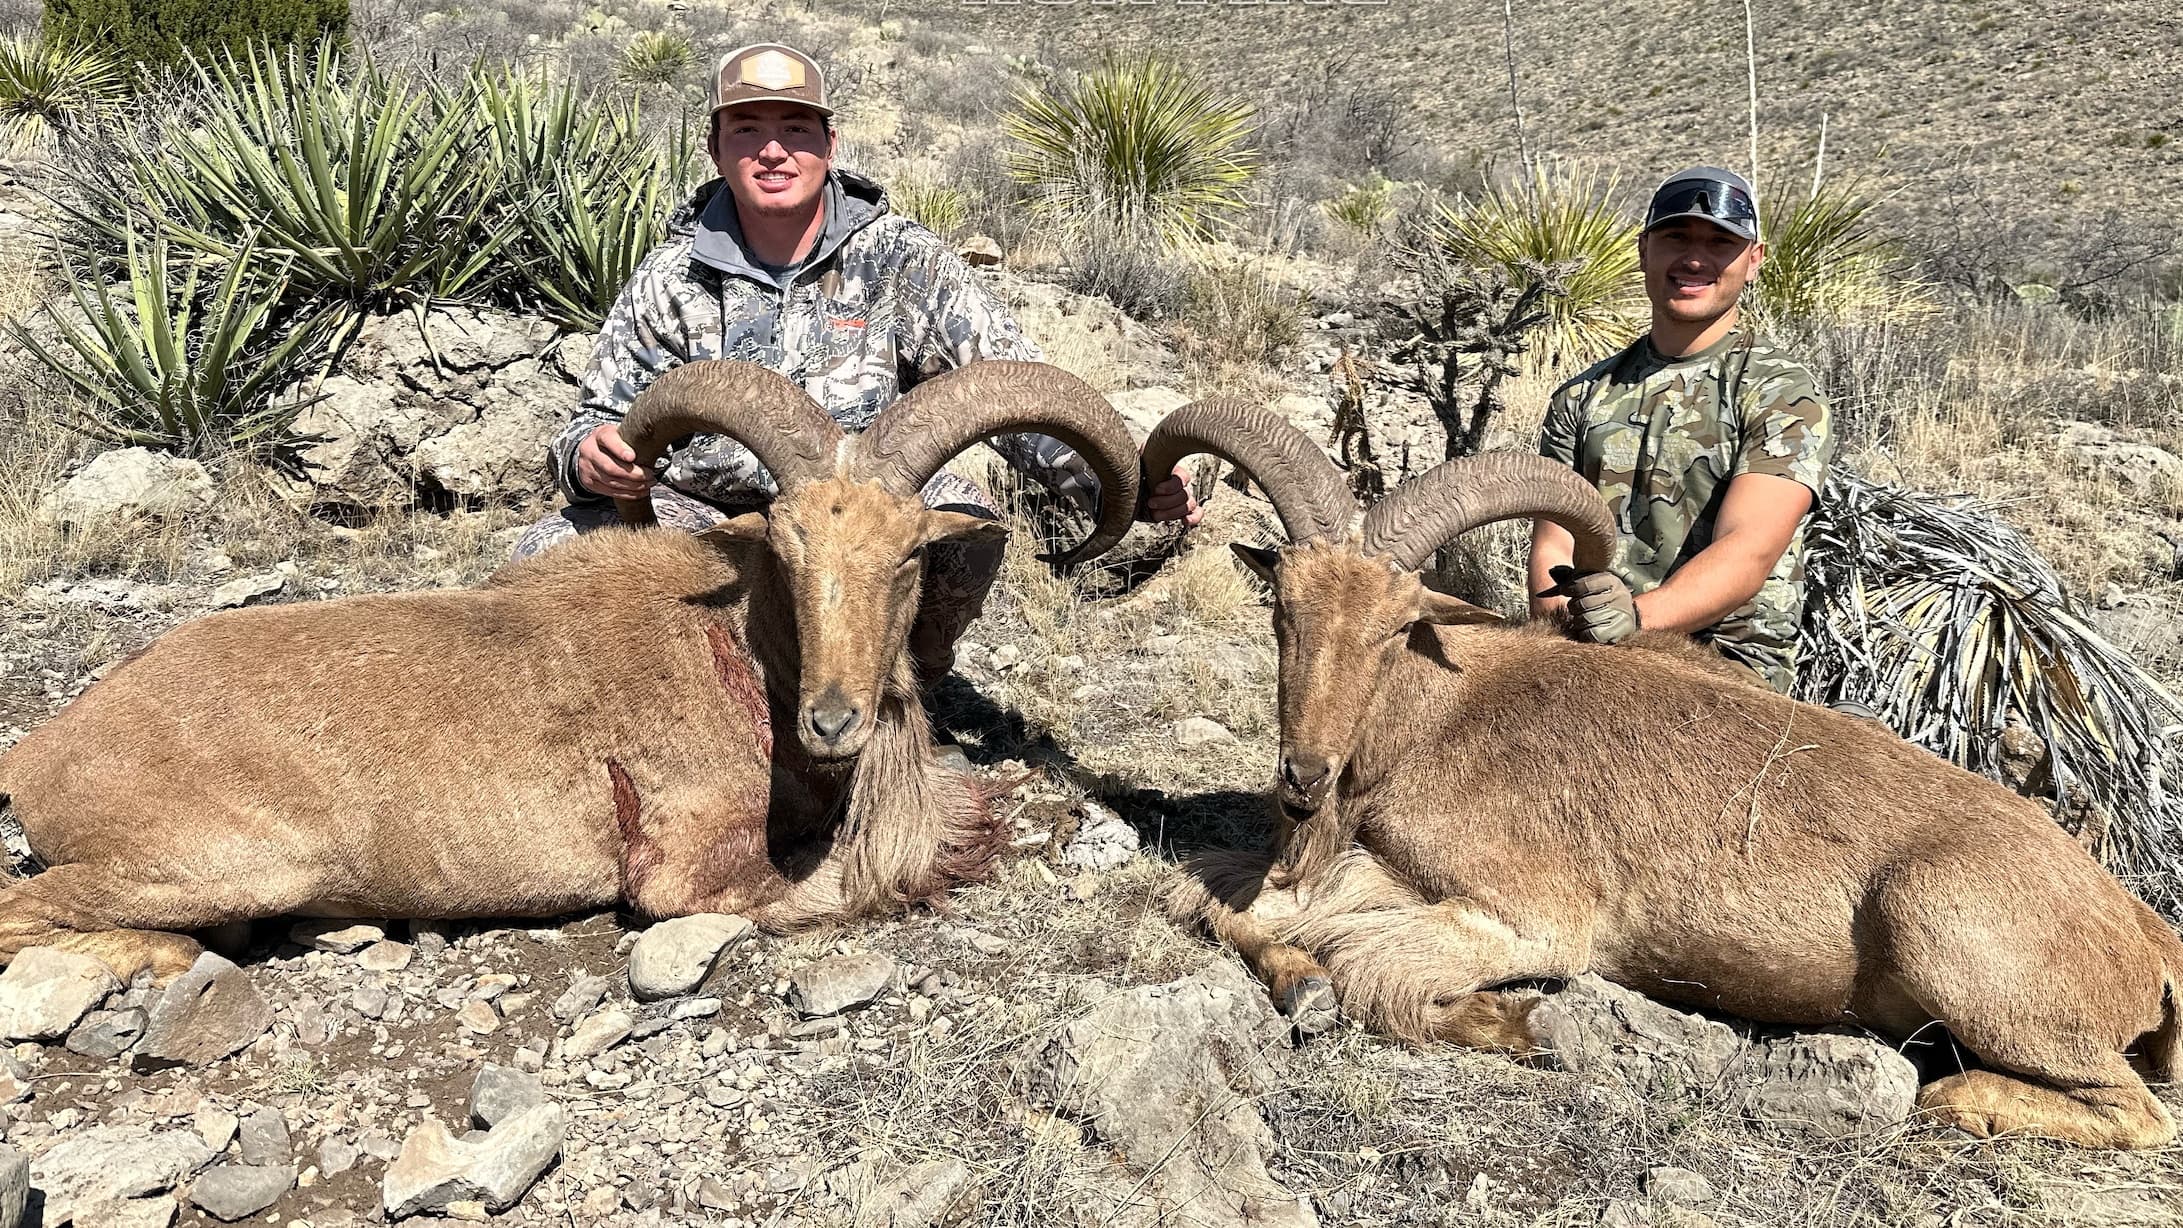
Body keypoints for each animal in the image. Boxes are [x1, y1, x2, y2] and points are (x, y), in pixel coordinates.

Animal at [0, 359, 1141, 987]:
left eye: (908, 551)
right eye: (783, 543)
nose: (833, 721)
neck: (739, 658)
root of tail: (42, 753)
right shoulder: (691, 871)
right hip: (224, 861)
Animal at [1146, 398, 2183, 1149]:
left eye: (1398, 625)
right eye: (1281, 607)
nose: (1302, 777)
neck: (1433, 718)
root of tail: (2144, 933)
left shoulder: (1528, 919)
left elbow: (1372, 972)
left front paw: (1519, 1023)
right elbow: (1221, 904)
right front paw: (1295, 976)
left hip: (1949, 938)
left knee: (2133, 1111)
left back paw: (1949, 1094)